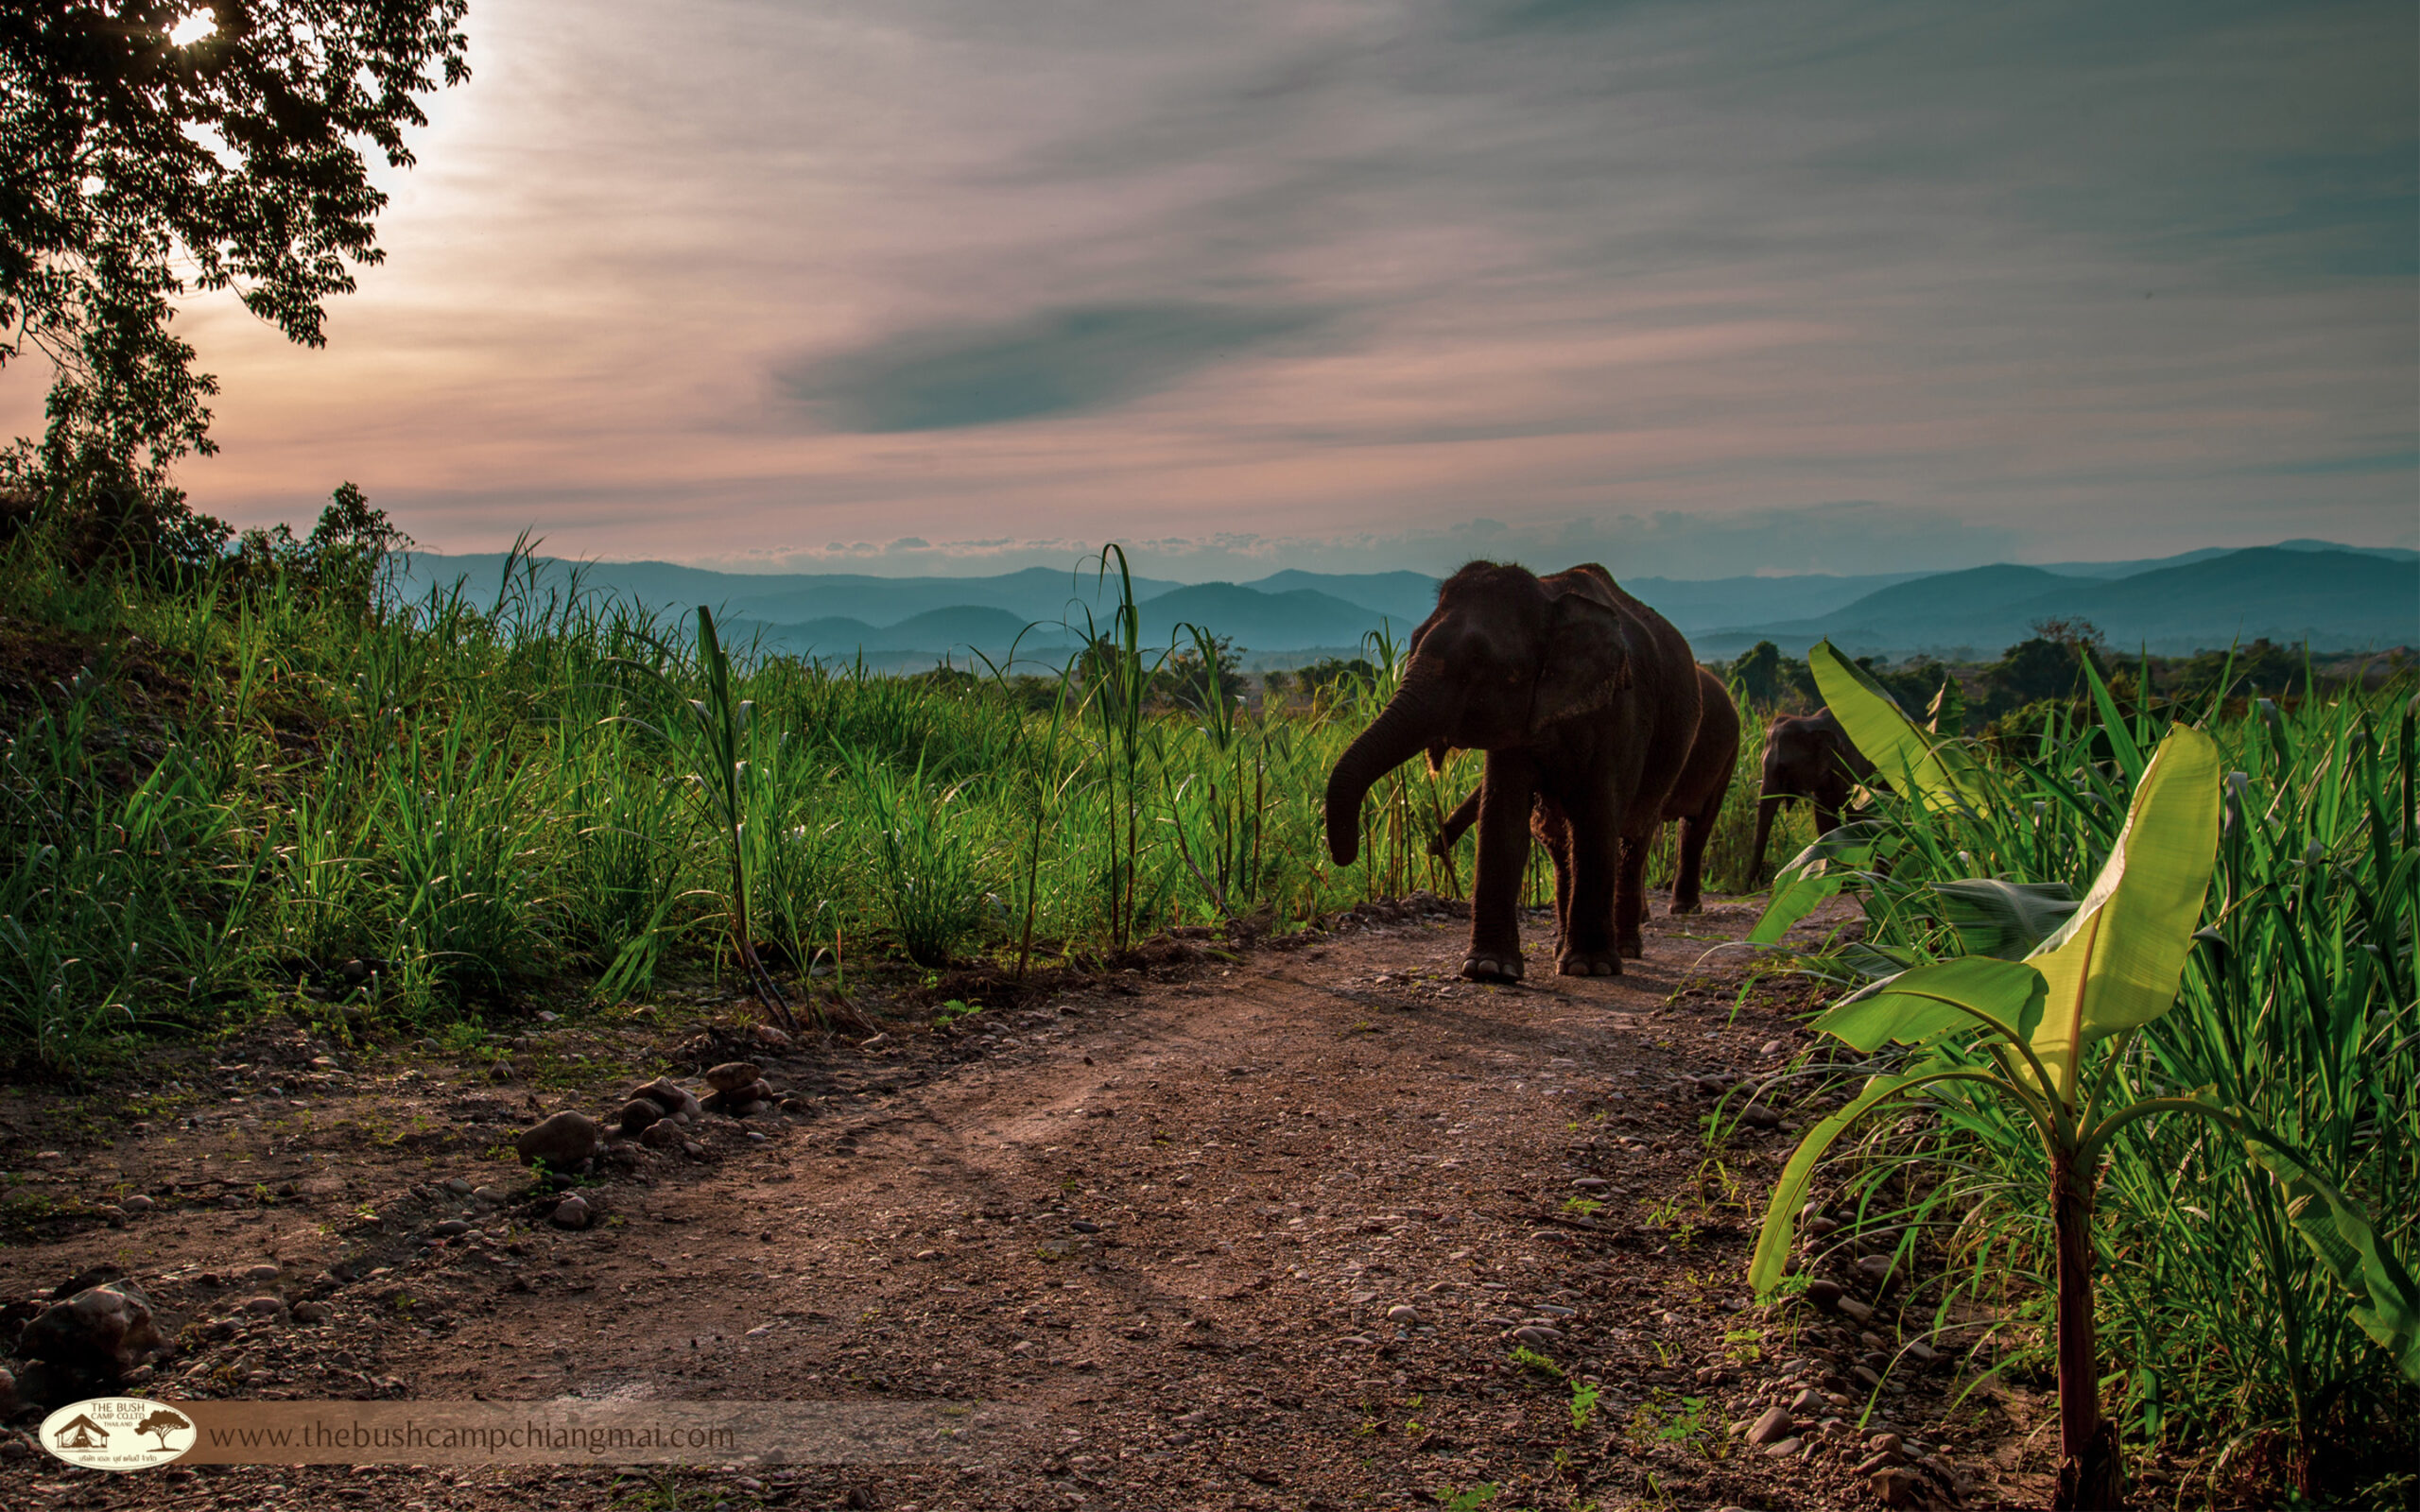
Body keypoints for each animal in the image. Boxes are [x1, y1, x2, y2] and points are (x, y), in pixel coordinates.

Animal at [1323, 560, 1705, 981]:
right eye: (1414, 640)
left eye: (1479, 664)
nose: (1346, 854)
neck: (1549, 597)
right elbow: (1503, 816)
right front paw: (1488, 969)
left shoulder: (1621, 711)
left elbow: (1597, 818)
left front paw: (1589, 968)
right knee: (1562, 846)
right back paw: (1560, 948)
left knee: (1631, 841)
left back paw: (1622, 950)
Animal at [1746, 706, 1877, 881]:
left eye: (1783, 768)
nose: (1757, 881)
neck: (1812, 722)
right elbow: (1826, 824)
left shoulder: (1855, 770)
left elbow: (1857, 820)